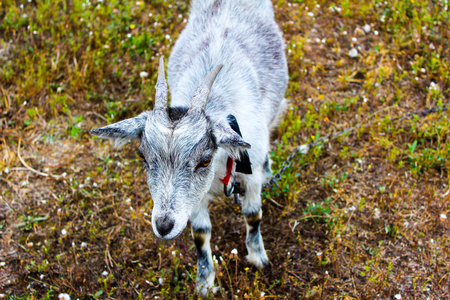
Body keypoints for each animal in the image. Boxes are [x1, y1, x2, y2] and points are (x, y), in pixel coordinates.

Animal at [90, 0, 288, 296]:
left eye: (204, 161)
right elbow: (201, 233)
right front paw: (205, 282)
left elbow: (253, 216)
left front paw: (257, 257)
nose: (163, 226)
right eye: (143, 157)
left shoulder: (249, 176)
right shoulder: (193, 199)